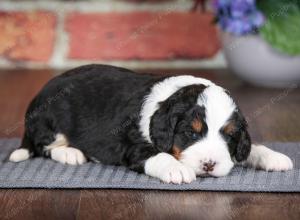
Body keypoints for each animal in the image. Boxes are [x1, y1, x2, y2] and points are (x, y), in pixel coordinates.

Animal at [9, 65, 292, 184]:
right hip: (52, 121)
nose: (209, 165)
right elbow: (159, 155)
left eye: (230, 137)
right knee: (44, 146)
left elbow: (250, 148)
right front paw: (177, 170)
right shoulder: (133, 147)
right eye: (190, 133)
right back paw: (71, 153)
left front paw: (273, 156)